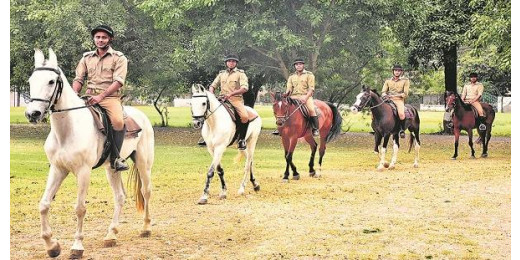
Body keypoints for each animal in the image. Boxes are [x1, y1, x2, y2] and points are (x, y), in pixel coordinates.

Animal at [24, 48, 154, 258]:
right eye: (30, 80)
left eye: (51, 81)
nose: (32, 114)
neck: (67, 130)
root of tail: (141, 116)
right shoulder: (58, 169)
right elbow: (44, 204)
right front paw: (52, 246)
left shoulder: (83, 172)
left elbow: (80, 208)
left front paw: (77, 246)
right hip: (112, 169)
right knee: (120, 197)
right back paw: (111, 235)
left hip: (143, 163)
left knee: (146, 191)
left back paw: (146, 228)